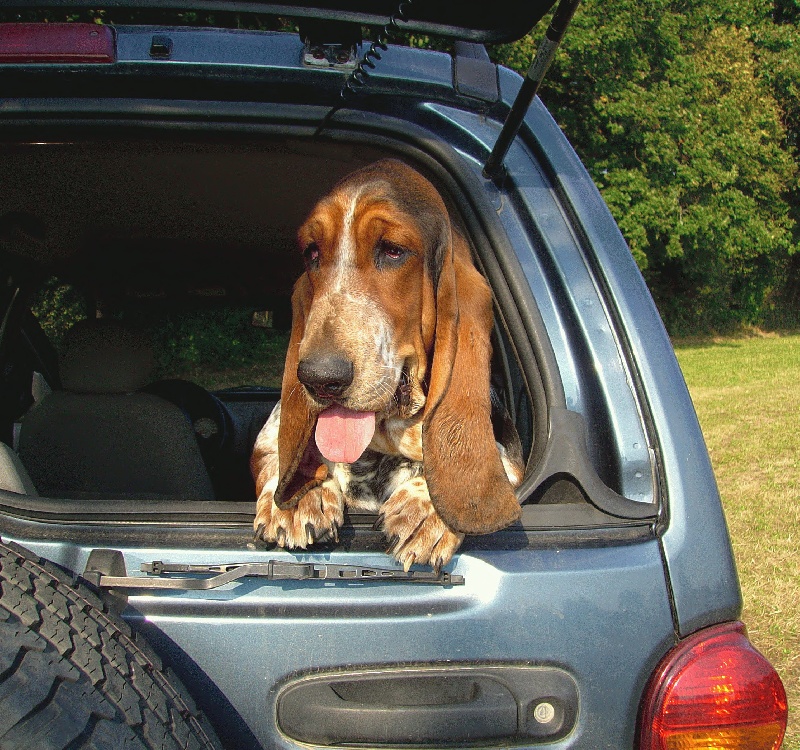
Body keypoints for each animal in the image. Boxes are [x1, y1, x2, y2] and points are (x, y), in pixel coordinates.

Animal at [252, 157, 524, 568]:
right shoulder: (266, 442)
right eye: (312, 253)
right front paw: (299, 497)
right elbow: (275, 457)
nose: (319, 378)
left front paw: (427, 510)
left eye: (394, 250)